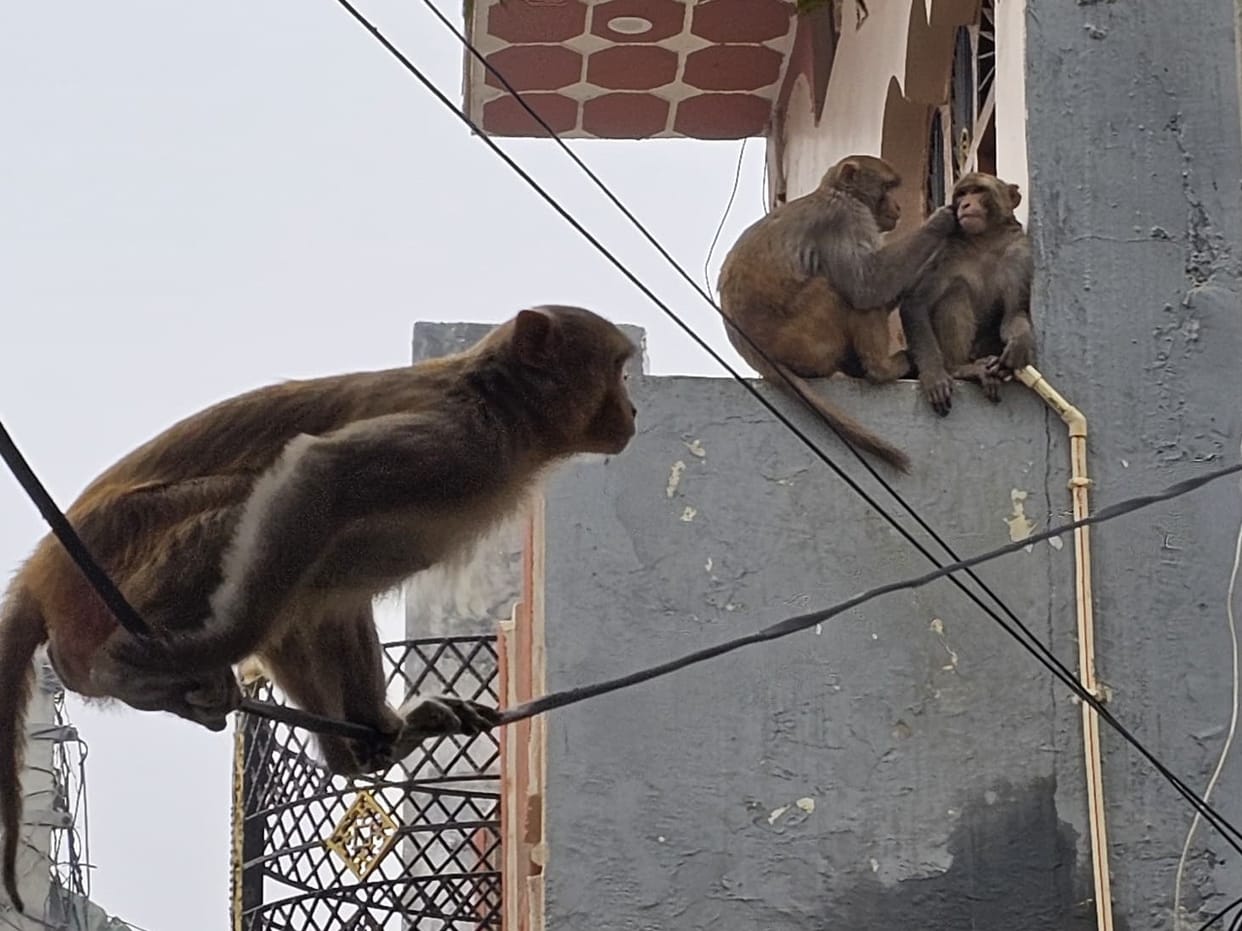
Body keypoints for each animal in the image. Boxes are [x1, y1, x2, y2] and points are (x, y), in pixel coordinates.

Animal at [0, 305, 637, 912]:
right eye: (619, 369)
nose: (631, 408)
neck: (502, 409)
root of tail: (41, 574)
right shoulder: (458, 441)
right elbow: (319, 472)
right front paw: (212, 648)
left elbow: (333, 597)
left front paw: (379, 730)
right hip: (113, 562)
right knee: (244, 504)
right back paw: (123, 670)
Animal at [717, 154, 958, 472]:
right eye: (887, 187)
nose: (897, 207)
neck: (838, 192)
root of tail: (755, 352)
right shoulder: (846, 218)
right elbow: (867, 285)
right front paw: (940, 223)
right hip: (803, 339)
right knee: (839, 290)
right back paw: (881, 368)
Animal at [899, 171, 1036, 416]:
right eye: (962, 194)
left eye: (978, 191)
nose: (965, 204)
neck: (984, 241)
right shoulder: (945, 250)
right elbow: (915, 304)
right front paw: (934, 375)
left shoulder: (1020, 253)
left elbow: (1013, 314)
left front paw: (1019, 341)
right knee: (956, 291)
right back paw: (960, 368)